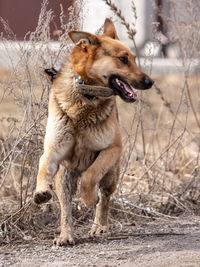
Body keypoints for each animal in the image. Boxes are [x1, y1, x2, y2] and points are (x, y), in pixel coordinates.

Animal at [33, 18, 154, 247]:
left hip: (111, 175)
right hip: (64, 180)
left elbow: (90, 176)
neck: (85, 97)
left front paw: (89, 199)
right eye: (123, 59)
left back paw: (99, 226)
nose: (150, 82)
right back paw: (66, 235)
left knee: (104, 198)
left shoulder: (111, 150)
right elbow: (43, 168)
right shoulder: (53, 152)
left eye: (134, 58)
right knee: (66, 210)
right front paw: (41, 191)